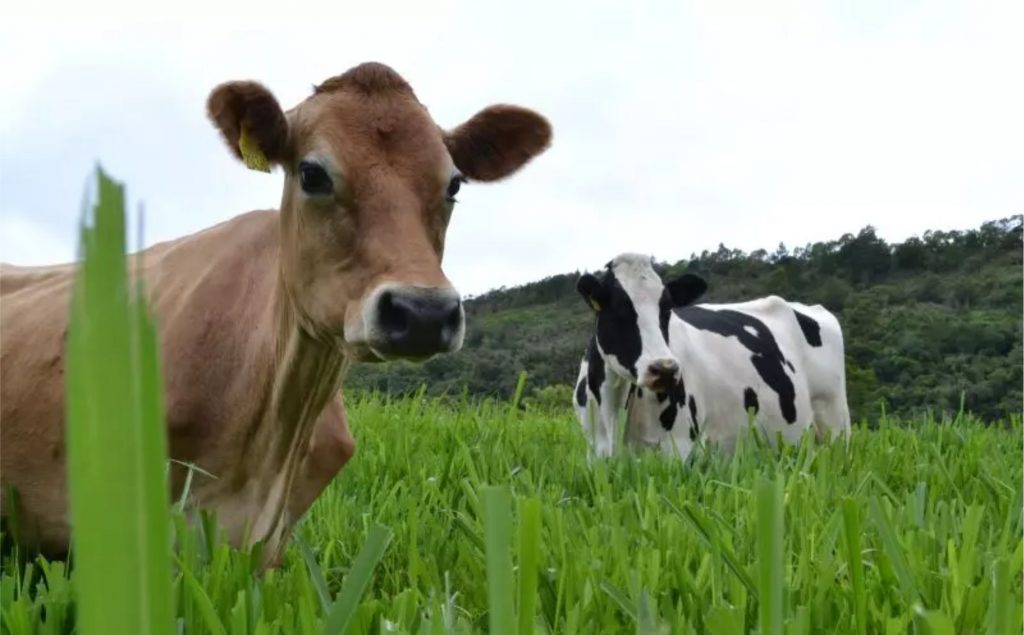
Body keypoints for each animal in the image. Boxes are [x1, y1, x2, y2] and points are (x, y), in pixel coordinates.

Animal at [573, 251, 851, 456]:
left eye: (667, 309)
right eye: (619, 309)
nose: (664, 369)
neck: (613, 407)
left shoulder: (679, 447)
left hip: (834, 420)